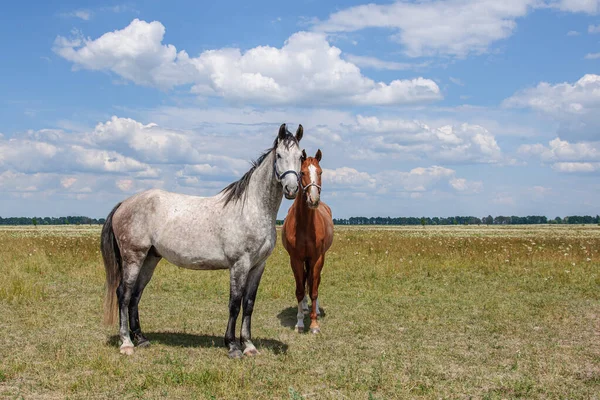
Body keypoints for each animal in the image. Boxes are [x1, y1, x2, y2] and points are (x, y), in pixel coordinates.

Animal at [101, 123, 304, 358]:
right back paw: (126, 343)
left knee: (135, 294)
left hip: (150, 259)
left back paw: (141, 339)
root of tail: (124, 203)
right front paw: (232, 346)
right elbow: (235, 303)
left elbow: (249, 304)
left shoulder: (258, 266)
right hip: (133, 257)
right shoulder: (239, 264)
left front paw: (249, 345)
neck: (251, 209)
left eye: (300, 156)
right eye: (279, 155)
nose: (291, 189)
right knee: (124, 294)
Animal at [282, 148, 332, 332]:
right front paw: (300, 322)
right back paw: (304, 307)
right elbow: (299, 289)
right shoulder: (295, 259)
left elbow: (314, 289)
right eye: (302, 172)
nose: (313, 200)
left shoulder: (316, 258)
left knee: (314, 281)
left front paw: (314, 323)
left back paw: (314, 309)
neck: (304, 225)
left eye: (320, 172)